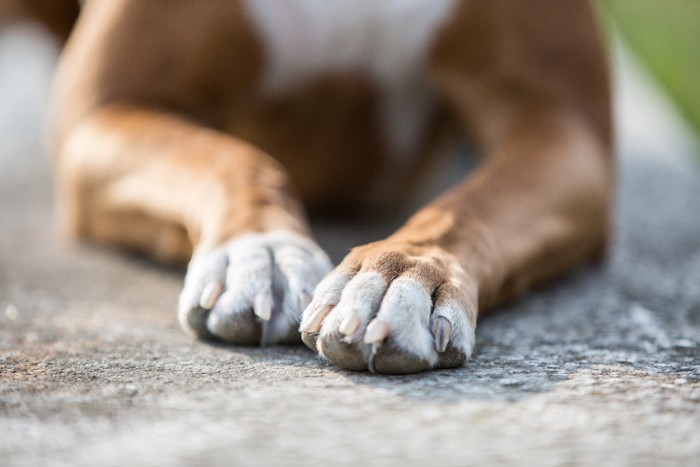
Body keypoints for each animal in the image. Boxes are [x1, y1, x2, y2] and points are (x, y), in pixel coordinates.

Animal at [35, 0, 608, 372]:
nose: (260, 250)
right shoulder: (106, 112)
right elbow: (234, 157)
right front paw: (260, 252)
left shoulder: (562, 125)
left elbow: (468, 207)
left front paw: (399, 278)